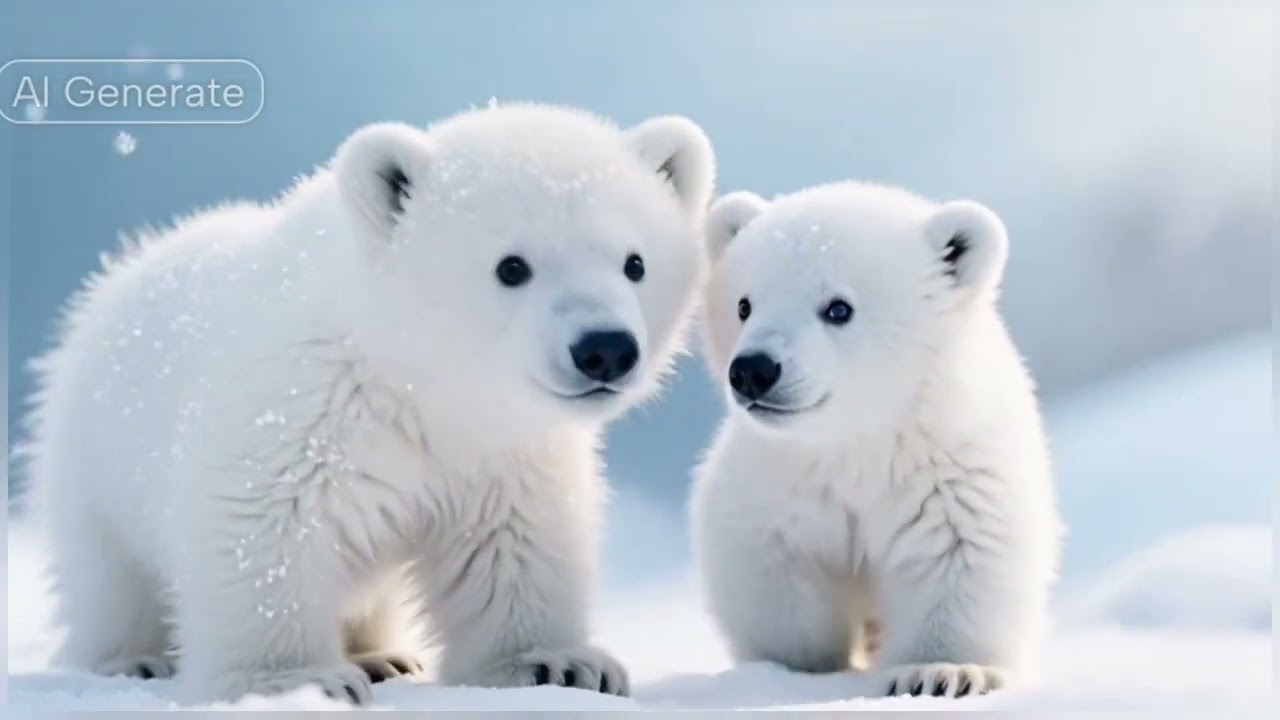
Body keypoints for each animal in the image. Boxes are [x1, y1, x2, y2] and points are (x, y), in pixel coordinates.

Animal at [19, 103, 716, 704]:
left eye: (634, 263)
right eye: (512, 266)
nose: (605, 349)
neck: (418, 382)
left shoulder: (504, 452)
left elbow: (513, 544)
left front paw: (558, 663)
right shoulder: (298, 408)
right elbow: (263, 528)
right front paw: (296, 681)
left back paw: (381, 655)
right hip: (95, 463)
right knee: (110, 579)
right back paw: (133, 658)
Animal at [689, 182, 1062, 698]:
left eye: (838, 308)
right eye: (744, 304)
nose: (753, 370)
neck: (863, 441)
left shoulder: (954, 477)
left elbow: (962, 555)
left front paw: (943, 672)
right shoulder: (779, 480)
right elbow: (773, 570)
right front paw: (795, 670)